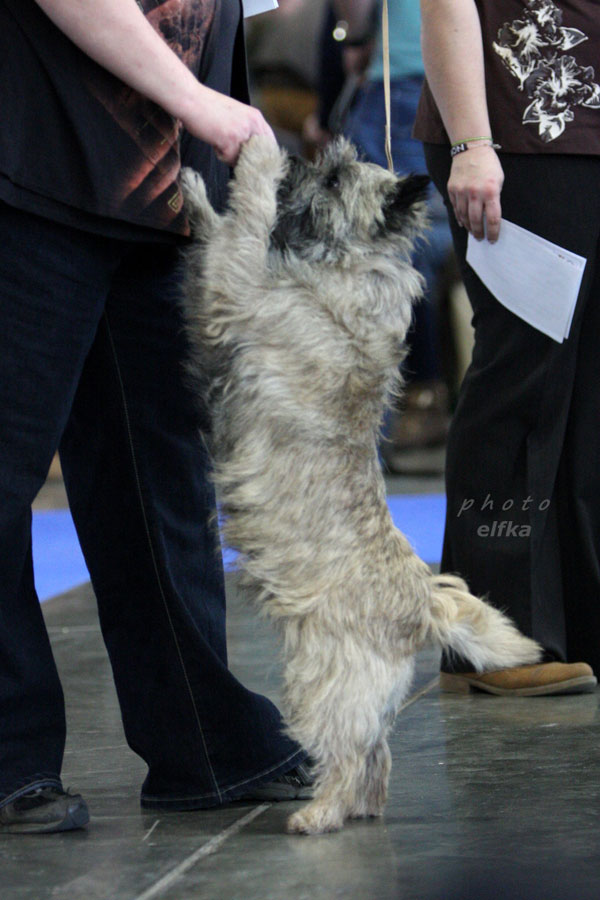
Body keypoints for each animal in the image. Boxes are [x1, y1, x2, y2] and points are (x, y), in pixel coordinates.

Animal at [180, 135, 540, 836]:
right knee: (377, 754)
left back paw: (319, 814)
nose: (298, 157)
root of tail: (422, 603)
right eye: (328, 161)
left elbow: (244, 230)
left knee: (348, 749)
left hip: (326, 676)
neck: (351, 266)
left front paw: (249, 163)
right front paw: (199, 193)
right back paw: (359, 809)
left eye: (335, 179)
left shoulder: (241, 293)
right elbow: (226, 234)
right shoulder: (238, 289)